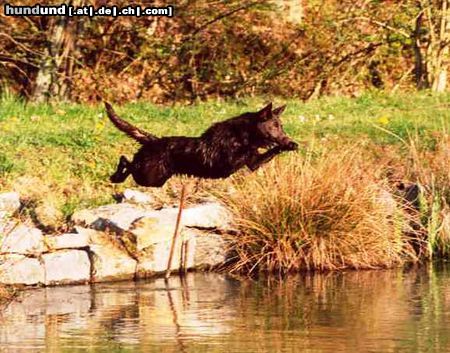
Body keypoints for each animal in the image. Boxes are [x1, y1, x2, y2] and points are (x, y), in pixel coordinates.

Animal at [105, 101, 298, 187]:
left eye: (281, 126)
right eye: (275, 126)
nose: (288, 139)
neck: (245, 135)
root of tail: (153, 140)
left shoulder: (253, 163)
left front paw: (290, 145)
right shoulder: (233, 162)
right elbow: (255, 151)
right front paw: (288, 145)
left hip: (155, 178)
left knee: (127, 161)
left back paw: (116, 177)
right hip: (149, 176)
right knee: (127, 161)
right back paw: (116, 176)